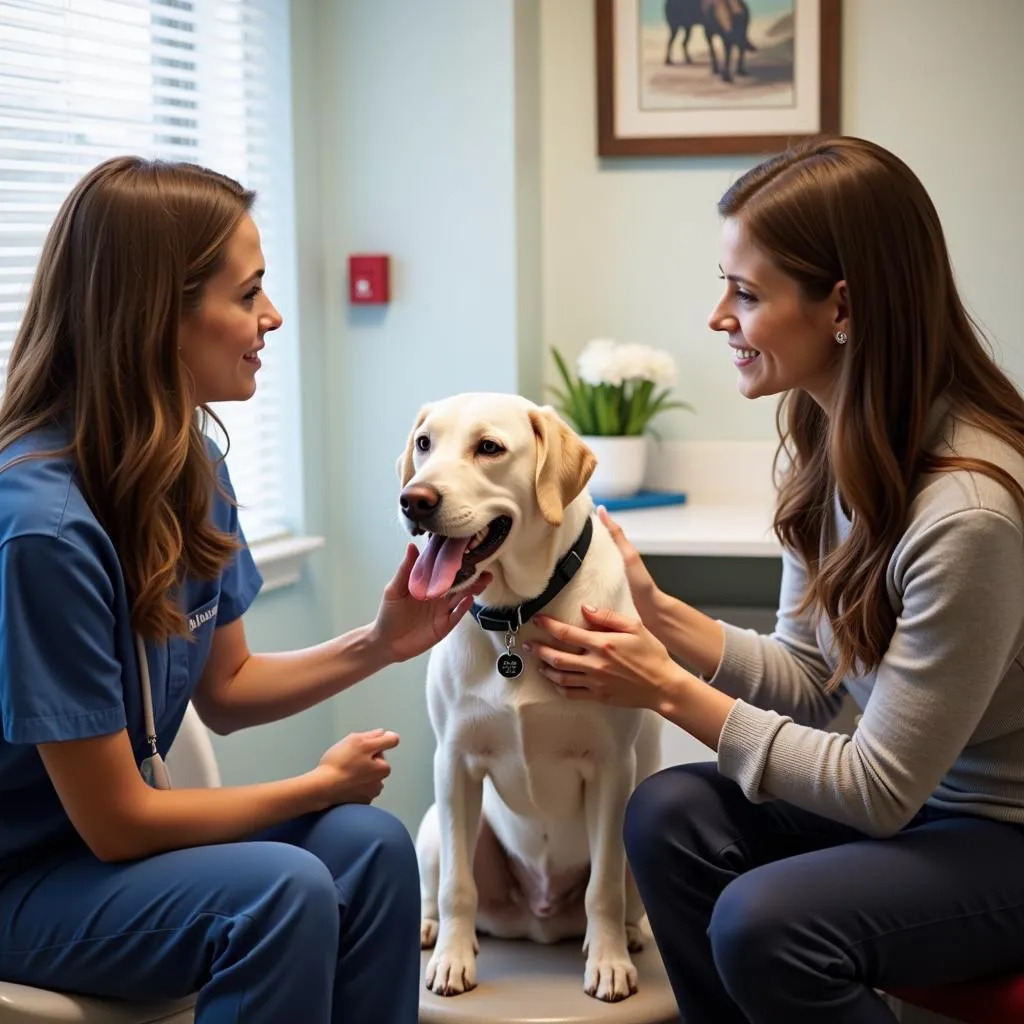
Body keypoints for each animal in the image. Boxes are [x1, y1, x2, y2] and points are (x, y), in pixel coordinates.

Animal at [395, 389, 659, 999]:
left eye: (489, 448)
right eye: (424, 443)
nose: (414, 500)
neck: (519, 611)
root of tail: (537, 922)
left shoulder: (612, 769)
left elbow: (604, 889)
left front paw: (608, 962)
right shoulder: (455, 764)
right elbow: (458, 887)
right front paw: (451, 961)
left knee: (621, 897)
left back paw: (628, 938)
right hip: (434, 827)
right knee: (441, 884)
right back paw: (431, 929)